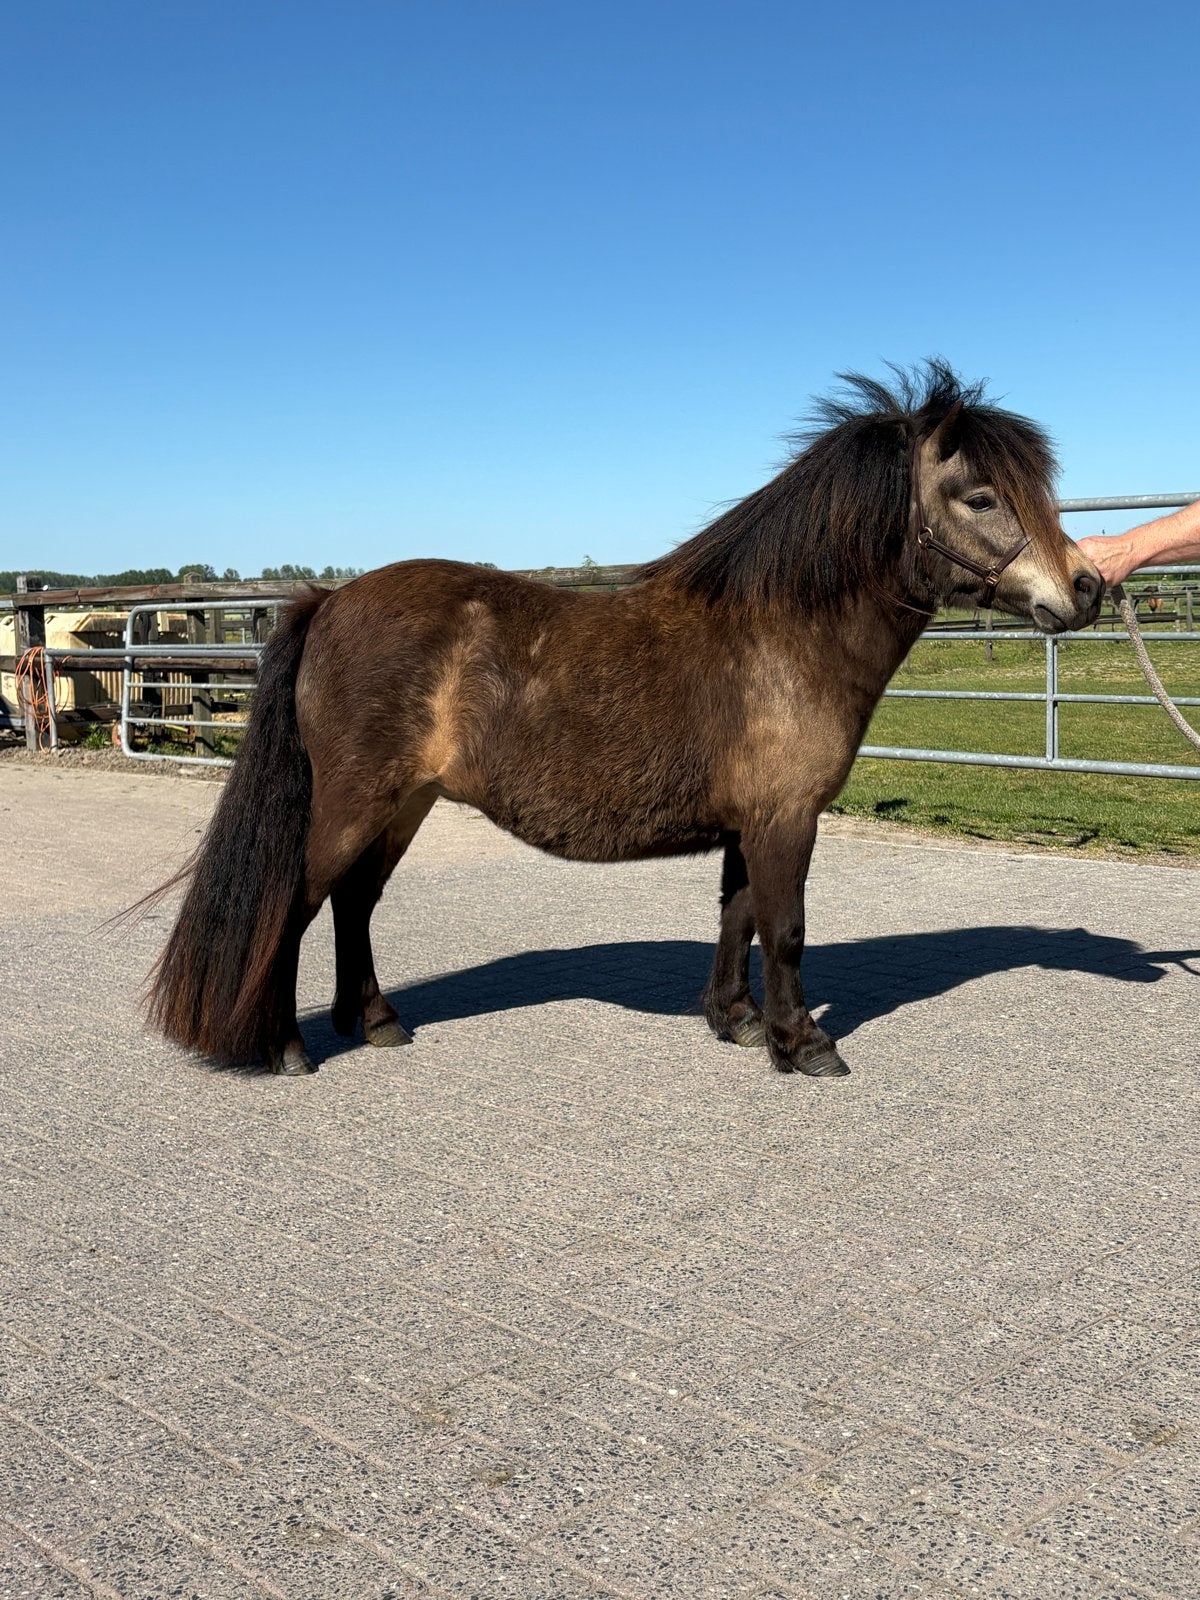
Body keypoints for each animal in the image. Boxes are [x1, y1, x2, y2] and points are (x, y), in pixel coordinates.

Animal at [145, 361, 1102, 1079]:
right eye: (978, 495)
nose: (1088, 588)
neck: (782, 632)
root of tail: (332, 599)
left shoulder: (747, 824)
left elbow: (738, 918)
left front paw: (737, 1022)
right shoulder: (785, 819)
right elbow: (787, 930)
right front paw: (804, 1044)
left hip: (403, 803)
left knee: (355, 902)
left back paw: (374, 1021)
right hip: (353, 803)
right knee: (298, 903)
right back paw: (288, 1046)